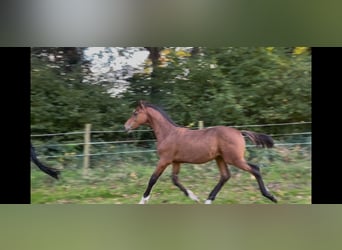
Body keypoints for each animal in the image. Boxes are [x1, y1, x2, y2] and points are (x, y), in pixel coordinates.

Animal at [124, 100, 276, 204]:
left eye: (135, 113)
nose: (125, 127)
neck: (168, 133)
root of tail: (239, 132)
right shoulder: (176, 161)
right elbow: (175, 180)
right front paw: (194, 197)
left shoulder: (164, 160)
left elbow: (153, 179)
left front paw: (142, 200)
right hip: (220, 158)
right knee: (225, 176)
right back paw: (208, 200)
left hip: (234, 159)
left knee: (255, 169)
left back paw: (270, 196)